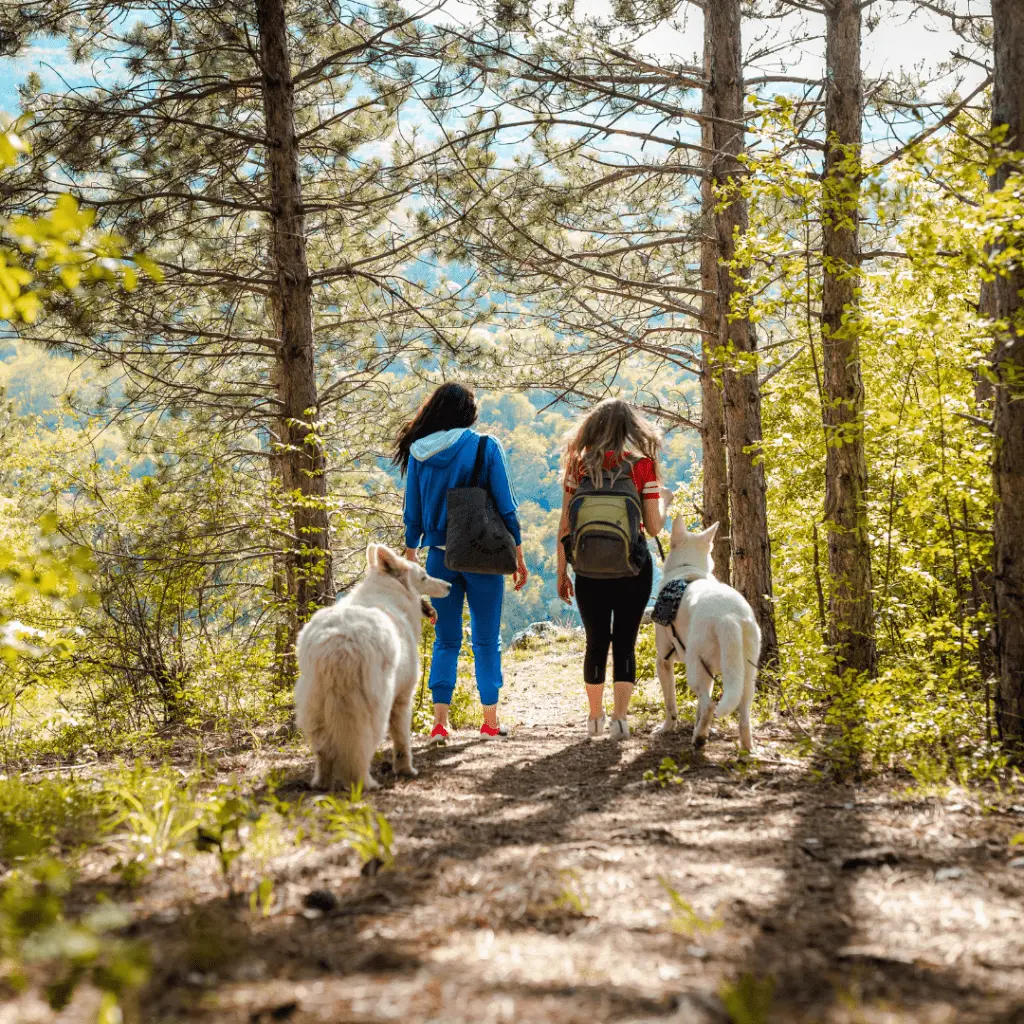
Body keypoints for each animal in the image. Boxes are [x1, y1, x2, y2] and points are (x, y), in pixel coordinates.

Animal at [288, 544, 448, 790]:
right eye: (424, 577)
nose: (449, 586)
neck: (390, 592)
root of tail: (338, 644)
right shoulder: (403, 699)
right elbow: (402, 740)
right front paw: (406, 770)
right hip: (373, 709)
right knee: (360, 749)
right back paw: (366, 783)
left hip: (314, 708)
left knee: (324, 752)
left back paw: (321, 783)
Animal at [655, 520, 761, 753]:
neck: (686, 568)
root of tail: (729, 616)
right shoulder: (710, 672)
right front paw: (696, 725)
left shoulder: (663, 661)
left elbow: (670, 703)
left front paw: (667, 728)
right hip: (746, 674)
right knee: (743, 715)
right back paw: (746, 749)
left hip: (694, 669)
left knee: (710, 704)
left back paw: (699, 739)